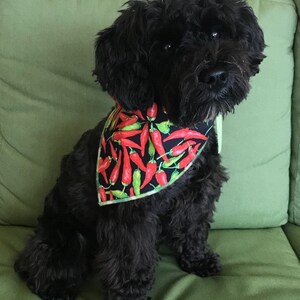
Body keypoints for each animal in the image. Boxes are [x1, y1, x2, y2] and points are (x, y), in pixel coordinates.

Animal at [14, 0, 264, 300]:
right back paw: (56, 288)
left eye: (216, 33)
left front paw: (198, 259)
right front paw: (131, 293)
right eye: (167, 47)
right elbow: (130, 257)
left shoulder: (199, 190)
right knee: (41, 263)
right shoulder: (131, 213)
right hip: (65, 238)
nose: (214, 76)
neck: (177, 126)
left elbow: (191, 225)